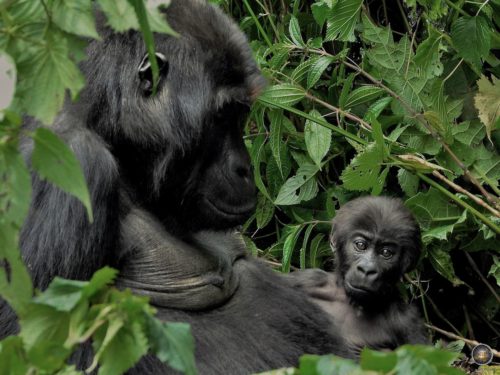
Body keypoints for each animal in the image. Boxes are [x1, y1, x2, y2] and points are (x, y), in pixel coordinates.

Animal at [0, 0, 352, 374]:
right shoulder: (71, 160)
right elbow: (40, 350)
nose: (245, 169)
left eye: (240, 115)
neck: (105, 122)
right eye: (222, 116)